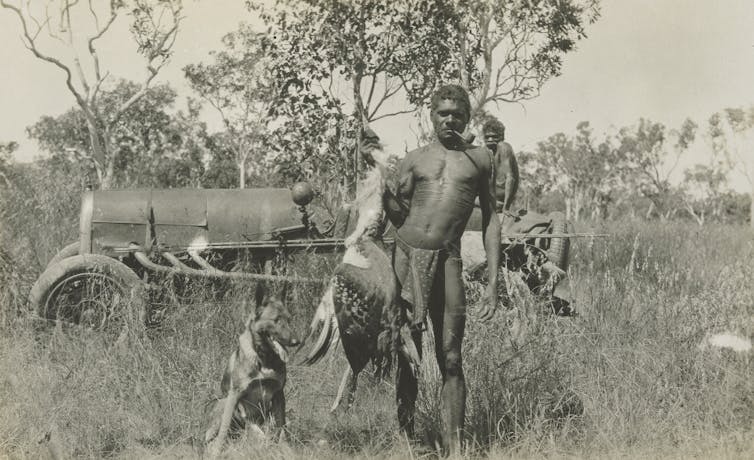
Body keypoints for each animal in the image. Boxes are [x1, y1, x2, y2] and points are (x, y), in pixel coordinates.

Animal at [206, 284, 302, 456]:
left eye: (289, 319)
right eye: (276, 320)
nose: (296, 341)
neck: (264, 359)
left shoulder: (279, 394)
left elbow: (281, 427)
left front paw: (286, 449)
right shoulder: (234, 395)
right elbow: (223, 429)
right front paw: (217, 452)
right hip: (223, 402)